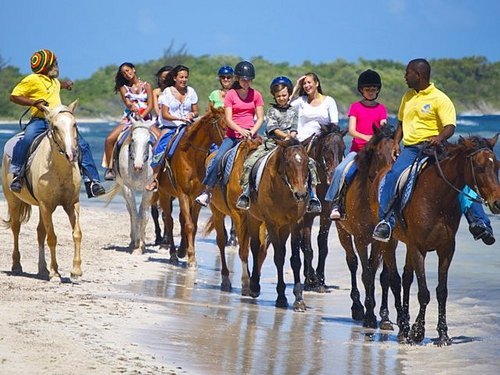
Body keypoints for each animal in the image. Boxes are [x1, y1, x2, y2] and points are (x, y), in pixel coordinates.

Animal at [106, 117, 157, 256]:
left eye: (148, 141)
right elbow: (135, 214)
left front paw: (142, 246)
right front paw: (136, 245)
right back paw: (133, 240)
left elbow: (144, 215)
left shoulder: (149, 189)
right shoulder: (127, 188)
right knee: (130, 211)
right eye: (133, 140)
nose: (138, 166)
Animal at [156, 106, 227, 268]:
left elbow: (192, 225)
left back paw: (181, 250)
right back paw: (173, 254)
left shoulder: (196, 196)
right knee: (169, 221)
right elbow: (188, 225)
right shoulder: (183, 193)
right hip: (164, 194)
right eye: (224, 126)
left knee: (180, 219)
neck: (191, 155)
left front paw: (189, 254)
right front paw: (191, 258)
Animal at [298, 125, 346, 292]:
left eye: (343, 148)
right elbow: (307, 247)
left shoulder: (326, 216)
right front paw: (311, 279)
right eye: (325, 148)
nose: (333, 177)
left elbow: (322, 246)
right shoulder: (307, 218)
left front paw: (321, 279)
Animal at [334, 125, 404, 328]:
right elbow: (366, 274)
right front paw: (370, 316)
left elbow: (380, 275)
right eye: (378, 154)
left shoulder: (382, 241)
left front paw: (384, 317)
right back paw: (357, 307)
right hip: (342, 233)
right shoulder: (361, 239)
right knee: (352, 263)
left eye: (398, 153)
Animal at [370, 135, 500, 346]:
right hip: (388, 242)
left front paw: (442, 334)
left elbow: (441, 292)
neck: (438, 198)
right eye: (479, 167)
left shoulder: (446, 249)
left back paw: (405, 325)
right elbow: (424, 293)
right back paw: (402, 329)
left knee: (406, 279)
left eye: (496, 165)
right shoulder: (418, 248)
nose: (497, 202)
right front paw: (417, 332)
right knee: (395, 280)